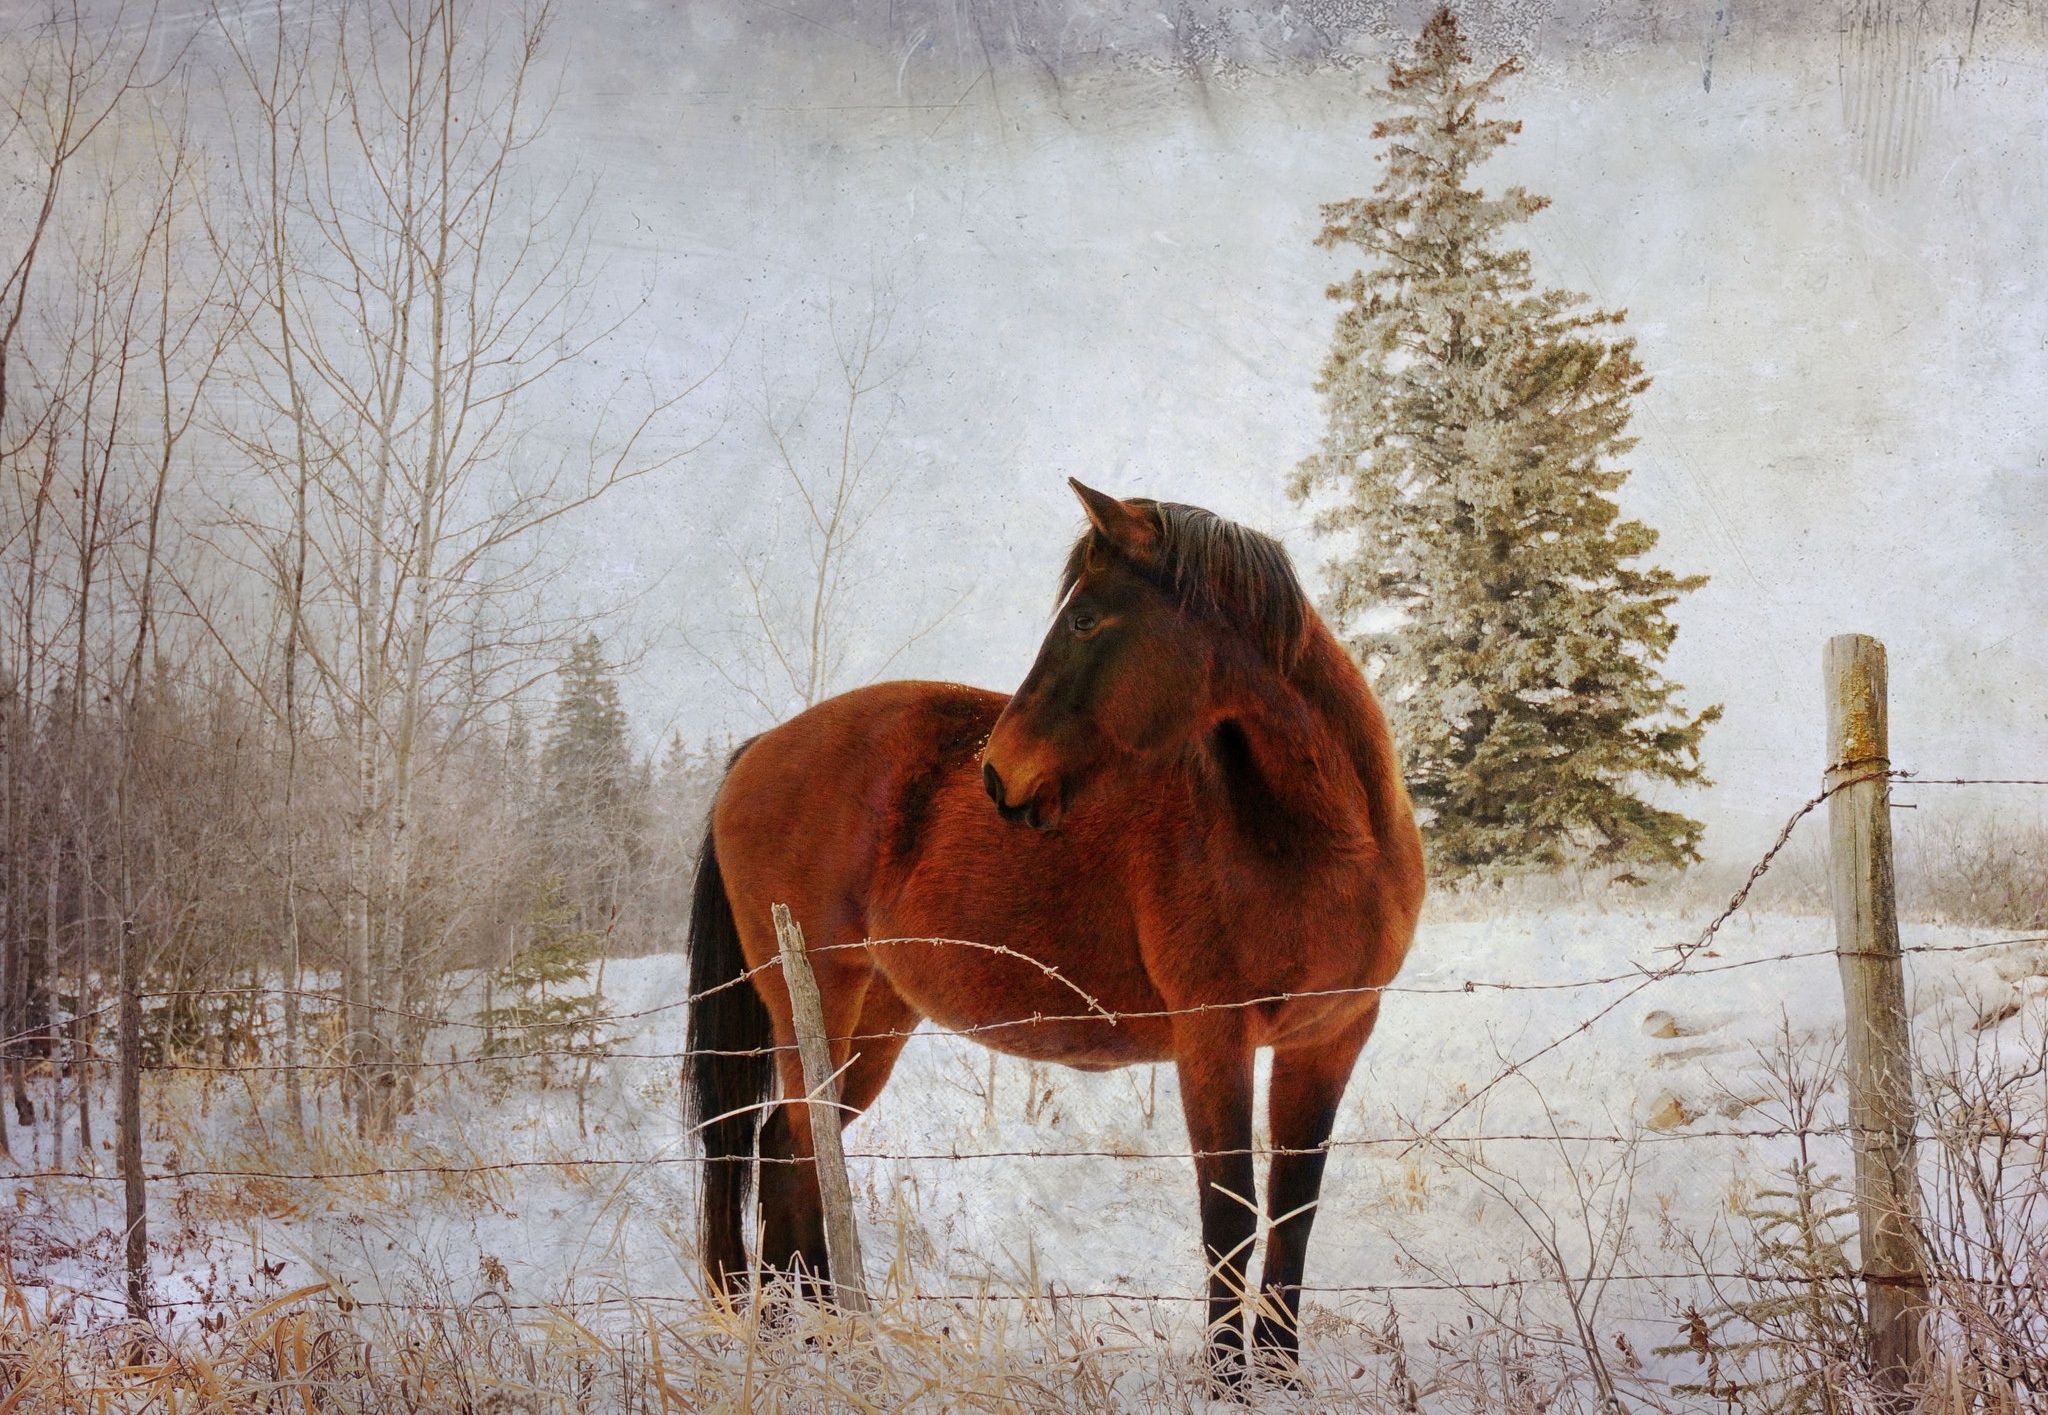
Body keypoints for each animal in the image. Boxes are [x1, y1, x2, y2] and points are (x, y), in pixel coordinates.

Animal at [684, 479, 1425, 1383]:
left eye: (1087, 620)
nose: (997, 773)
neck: (1320, 839)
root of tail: (757, 752)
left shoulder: (1331, 1036)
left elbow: (1293, 1212)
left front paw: (1281, 1375)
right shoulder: (1214, 1038)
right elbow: (1229, 1215)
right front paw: (1229, 1380)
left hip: (876, 1019)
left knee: (791, 1156)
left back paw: (818, 1341)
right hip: (815, 1004)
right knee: (790, 1152)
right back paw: (813, 1345)